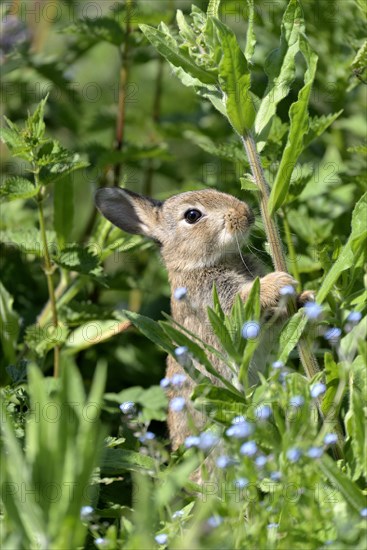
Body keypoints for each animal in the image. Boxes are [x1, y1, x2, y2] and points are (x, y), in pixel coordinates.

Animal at [95, 190, 302, 452]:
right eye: (192, 215)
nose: (245, 213)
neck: (196, 263)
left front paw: (305, 297)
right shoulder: (218, 303)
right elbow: (245, 300)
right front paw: (280, 281)